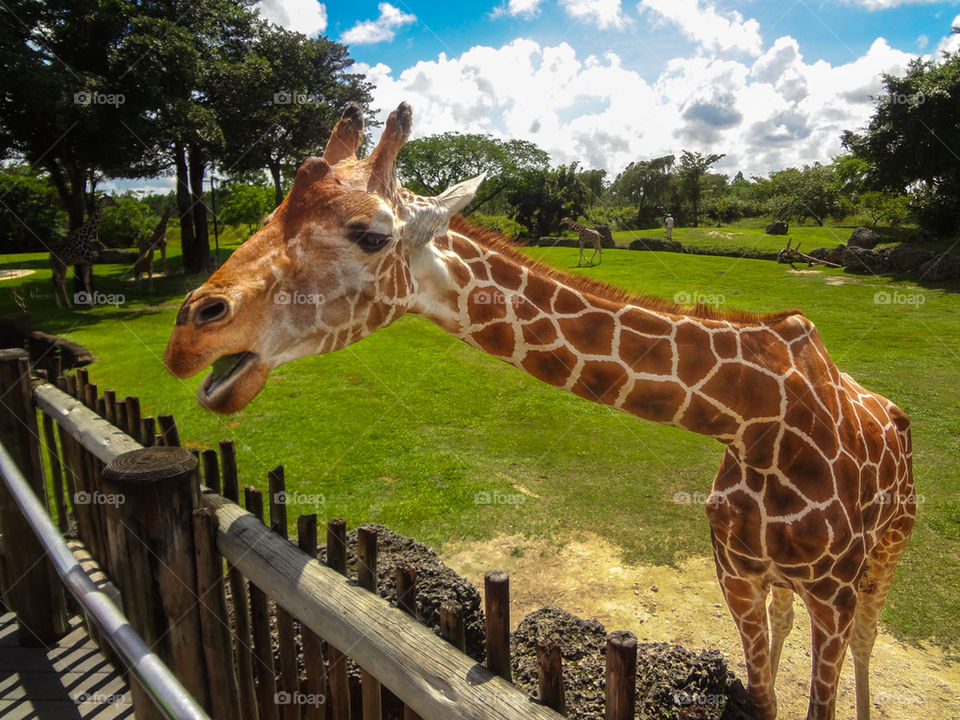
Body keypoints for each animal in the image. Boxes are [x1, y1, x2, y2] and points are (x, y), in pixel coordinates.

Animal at [164, 103, 915, 720]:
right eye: (269, 215)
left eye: (371, 235)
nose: (188, 336)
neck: (752, 419)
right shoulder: (735, 572)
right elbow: (762, 694)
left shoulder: (833, 591)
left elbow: (825, 691)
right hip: (786, 581)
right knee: (789, 627)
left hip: (884, 553)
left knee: (869, 639)